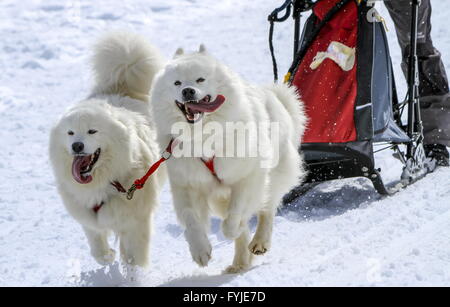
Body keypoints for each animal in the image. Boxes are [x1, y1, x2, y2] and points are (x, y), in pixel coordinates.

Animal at [49, 31, 165, 268]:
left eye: (92, 131)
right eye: (70, 133)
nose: (77, 146)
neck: (104, 183)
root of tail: (121, 84)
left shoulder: (136, 220)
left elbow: (135, 257)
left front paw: (133, 272)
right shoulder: (87, 216)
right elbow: (97, 246)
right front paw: (107, 256)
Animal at [149, 46, 308, 274]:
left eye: (200, 79)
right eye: (177, 83)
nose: (187, 91)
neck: (202, 137)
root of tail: (276, 97)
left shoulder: (247, 176)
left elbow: (236, 212)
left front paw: (232, 228)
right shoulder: (187, 185)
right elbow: (191, 219)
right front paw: (200, 250)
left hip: (274, 174)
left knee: (267, 209)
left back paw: (259, 242)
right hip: (218, 198)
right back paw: (240, 262)